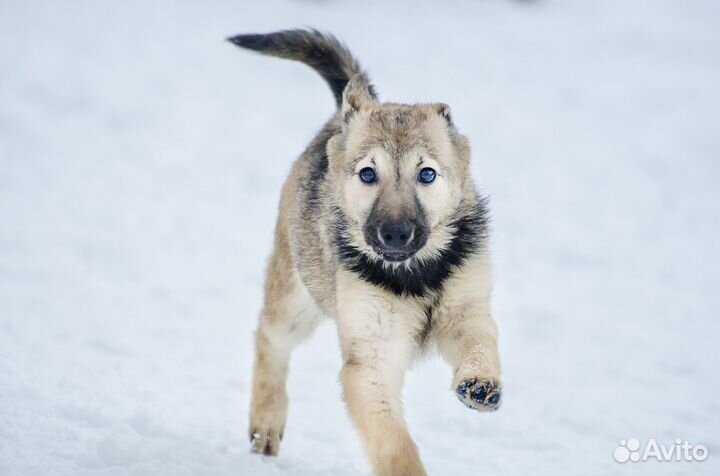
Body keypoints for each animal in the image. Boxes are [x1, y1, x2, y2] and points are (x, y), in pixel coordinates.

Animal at [229, 29, 500, 476]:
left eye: (427, 173)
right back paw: (265, 423)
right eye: (368, 174)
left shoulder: (466, 307)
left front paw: (480, 383)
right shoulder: (371, 359)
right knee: (268, 338)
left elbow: (479, 339)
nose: (396, 234)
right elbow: (393, 443)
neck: (414, 274)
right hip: (296, 297)